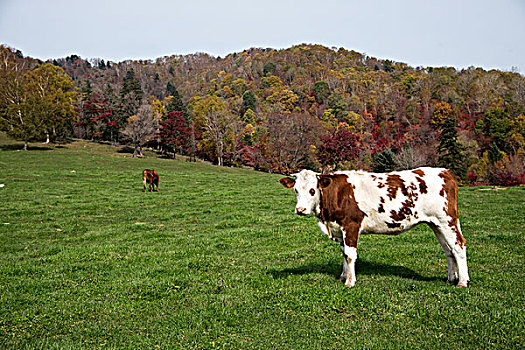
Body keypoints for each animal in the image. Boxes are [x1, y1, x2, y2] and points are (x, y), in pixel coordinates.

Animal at [280, 168, 468, 288]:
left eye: (312, 190)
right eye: (296, 190)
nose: (300, 209)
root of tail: (445, 171)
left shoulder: (351, 225)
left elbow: (350, 255)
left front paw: (350, 282)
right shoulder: (340, 229)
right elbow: (343, 253)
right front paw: (343, 276)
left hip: (446, 220)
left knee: (458, 245)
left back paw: (462, 282)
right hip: (436, 223)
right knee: (448, 249)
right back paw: (451, 278)